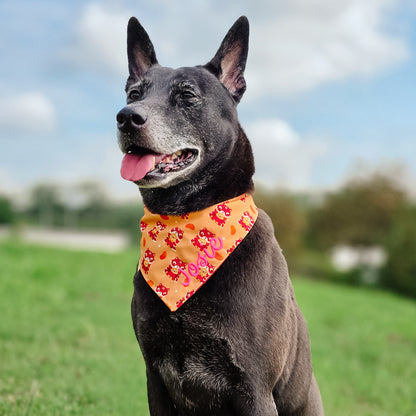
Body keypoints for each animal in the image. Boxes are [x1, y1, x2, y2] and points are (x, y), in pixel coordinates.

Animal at [117, 14, 324, 414]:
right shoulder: (155, 378)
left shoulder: (255, 388)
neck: (186, 224)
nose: (126, 117)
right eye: (134, 94)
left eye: (186, 95)